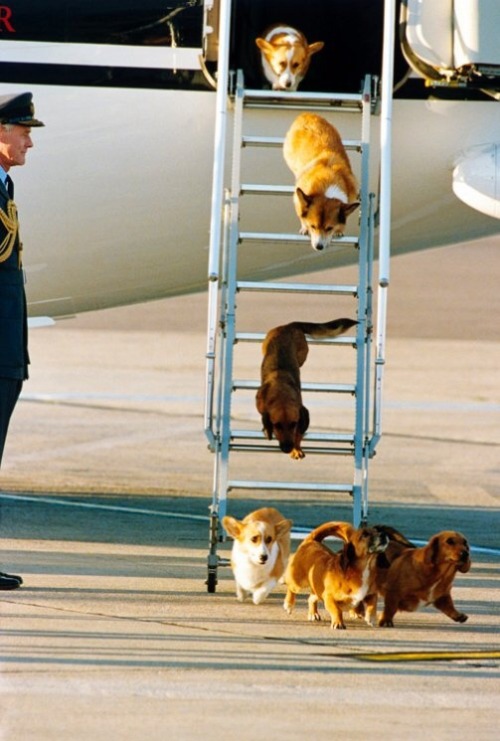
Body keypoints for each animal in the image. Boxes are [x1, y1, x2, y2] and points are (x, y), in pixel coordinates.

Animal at [256, 316, 358, 456]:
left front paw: (297, 448)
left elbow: (299, 433)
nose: (287, 448)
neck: (281, 389)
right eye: (277, 425)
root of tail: (289, 325)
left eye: (294, 424)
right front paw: (266, 429)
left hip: (302, 354)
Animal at [284, 113, 362, 251]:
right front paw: (304, 228)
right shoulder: (298, 199)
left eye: (329, 228)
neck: (327, 185)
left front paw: (339, 231)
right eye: (313, 226)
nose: (319, 247)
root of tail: (306, 114)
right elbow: (301, 215)